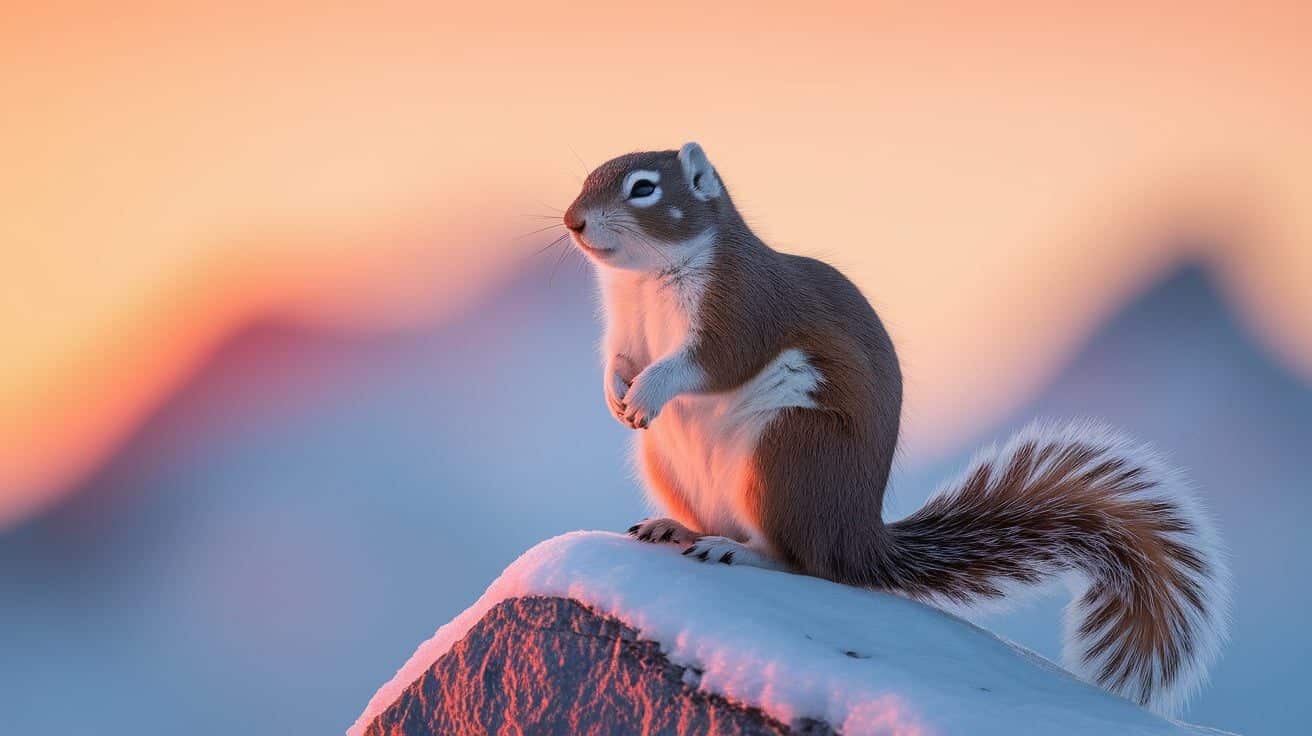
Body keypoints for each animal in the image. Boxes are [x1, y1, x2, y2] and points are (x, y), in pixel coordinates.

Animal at [564, 140, 1228, 713]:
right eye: (587, 174)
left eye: (644, 188)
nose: (572, 222)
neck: (644, 281)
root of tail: (855, 537)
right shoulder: (625, 331)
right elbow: (617, 360)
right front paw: (617, 395)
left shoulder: (743, 310)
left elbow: (711, 362)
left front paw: (649, 392)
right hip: (669, 464)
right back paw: (675, 528)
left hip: (787, 454)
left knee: (804, 562)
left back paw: (738, 553)